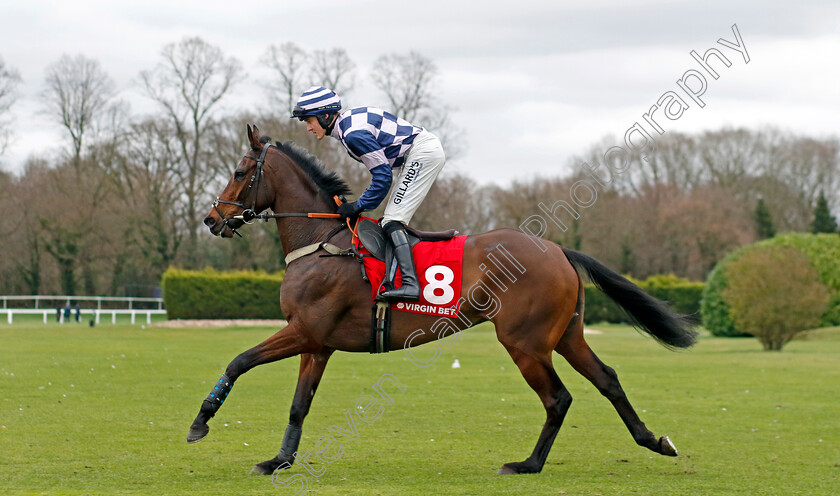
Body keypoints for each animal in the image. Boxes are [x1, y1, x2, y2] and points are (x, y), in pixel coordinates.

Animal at [194, 124, 700, 476]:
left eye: (240, 172)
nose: (211, 219)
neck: (321, 241)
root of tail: (558, 249)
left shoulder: (303, 331)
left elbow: (239, 360)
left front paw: (200, 422)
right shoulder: (317, 344)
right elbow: (299, 404)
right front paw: (279, 461)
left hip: (525, 342)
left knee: (558, 398)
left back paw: (527, 464)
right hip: (566, 336)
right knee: (608, 379)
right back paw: (653, 441)